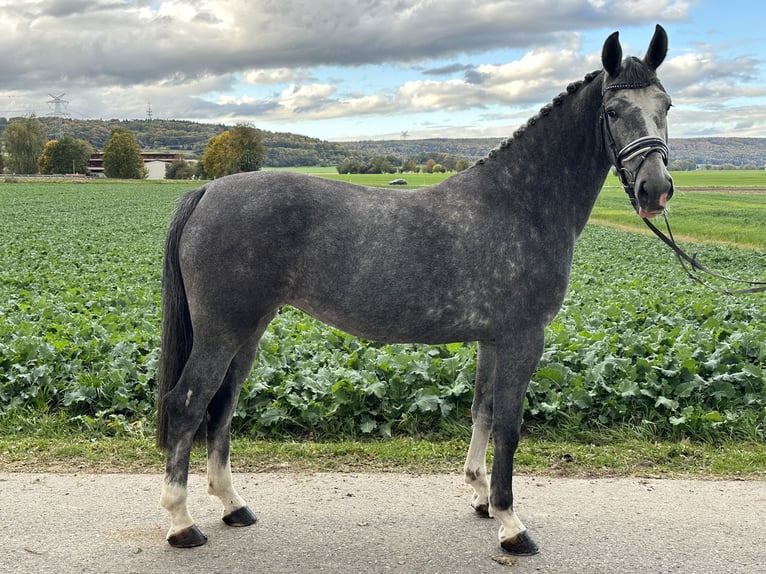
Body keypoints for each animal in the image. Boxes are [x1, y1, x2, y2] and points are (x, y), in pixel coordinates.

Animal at [159, 24, 676, 556]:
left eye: (667, 105)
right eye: (613, 111)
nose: (655, 189)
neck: (520, 202)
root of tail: (208, 190)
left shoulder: (492, 341)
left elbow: (482, 412)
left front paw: (480, 496)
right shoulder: (523, 338)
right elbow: (508, 426)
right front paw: (511, 523)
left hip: (248, 331)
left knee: (222, 407)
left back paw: (233, 506)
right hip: (222, 331)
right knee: (186, 405)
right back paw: (181, 523)